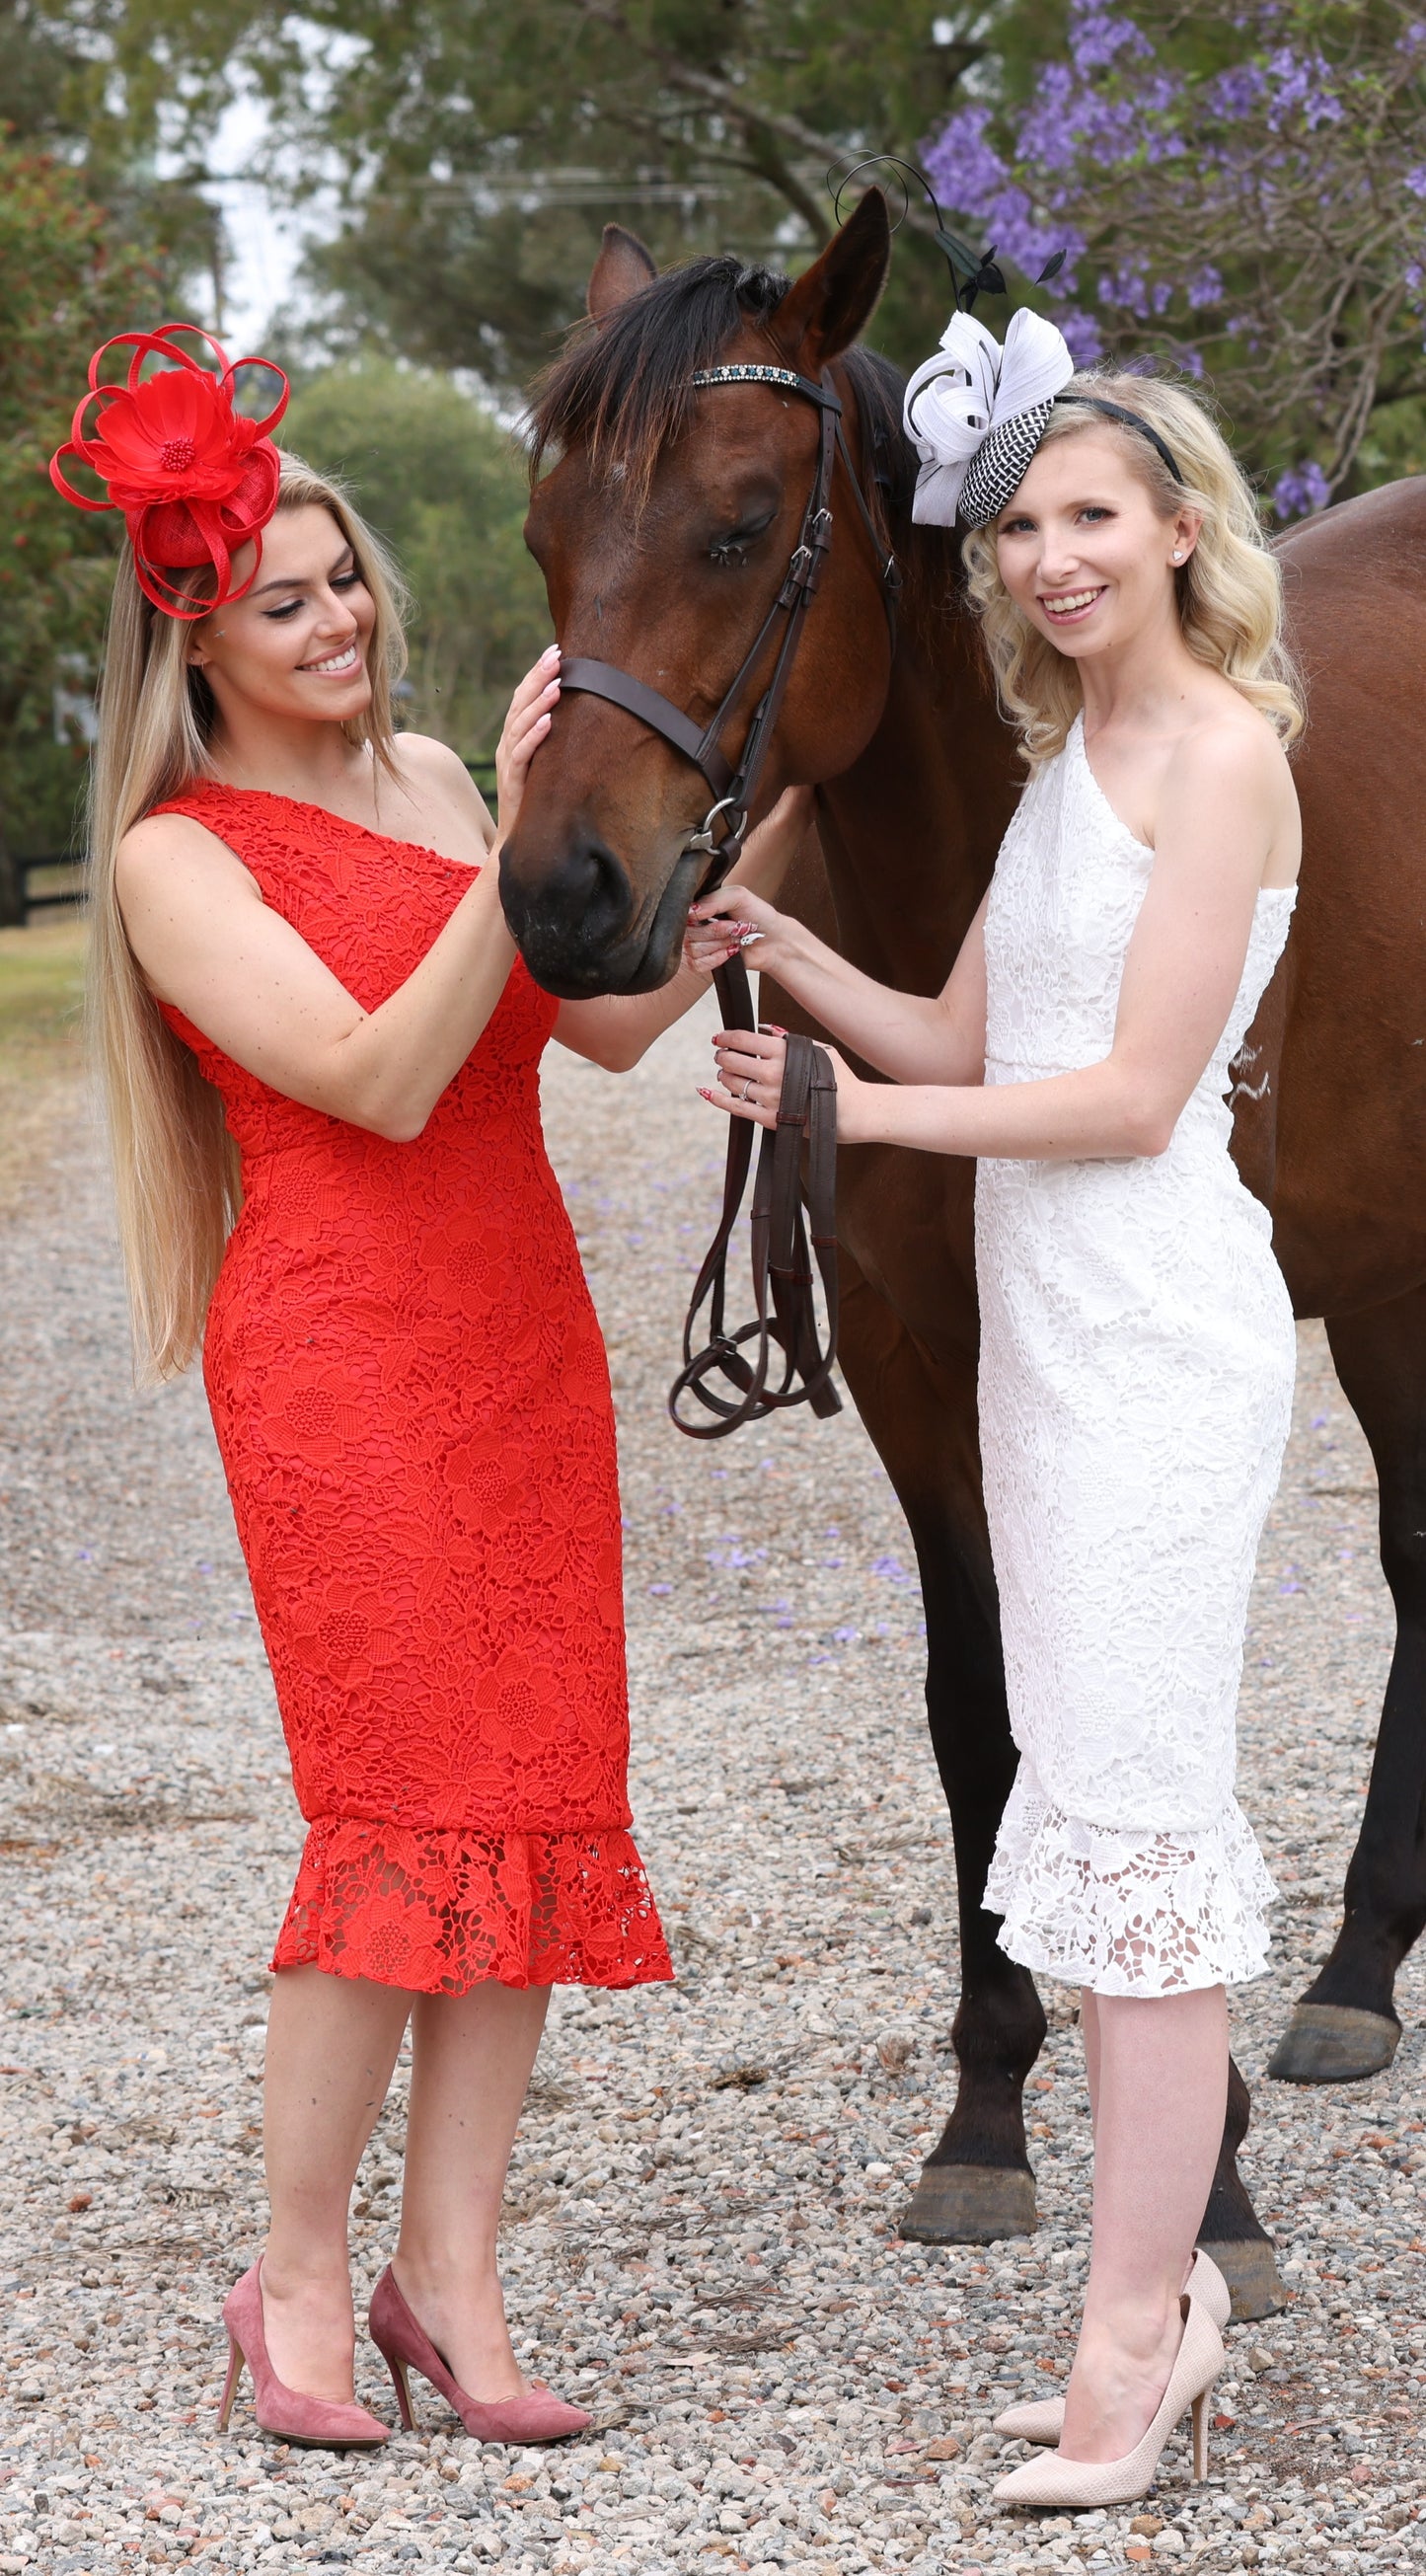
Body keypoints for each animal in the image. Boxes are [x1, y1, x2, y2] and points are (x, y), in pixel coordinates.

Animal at [504, 182, 1420, 2318]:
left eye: (738, 524)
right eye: (541, 535)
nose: (563, 896)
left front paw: (1206, 2175)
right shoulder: (924, 1368)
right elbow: (972, 1713)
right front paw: (990, 2111)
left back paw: (1346, 1971)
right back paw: (1355, 1971)